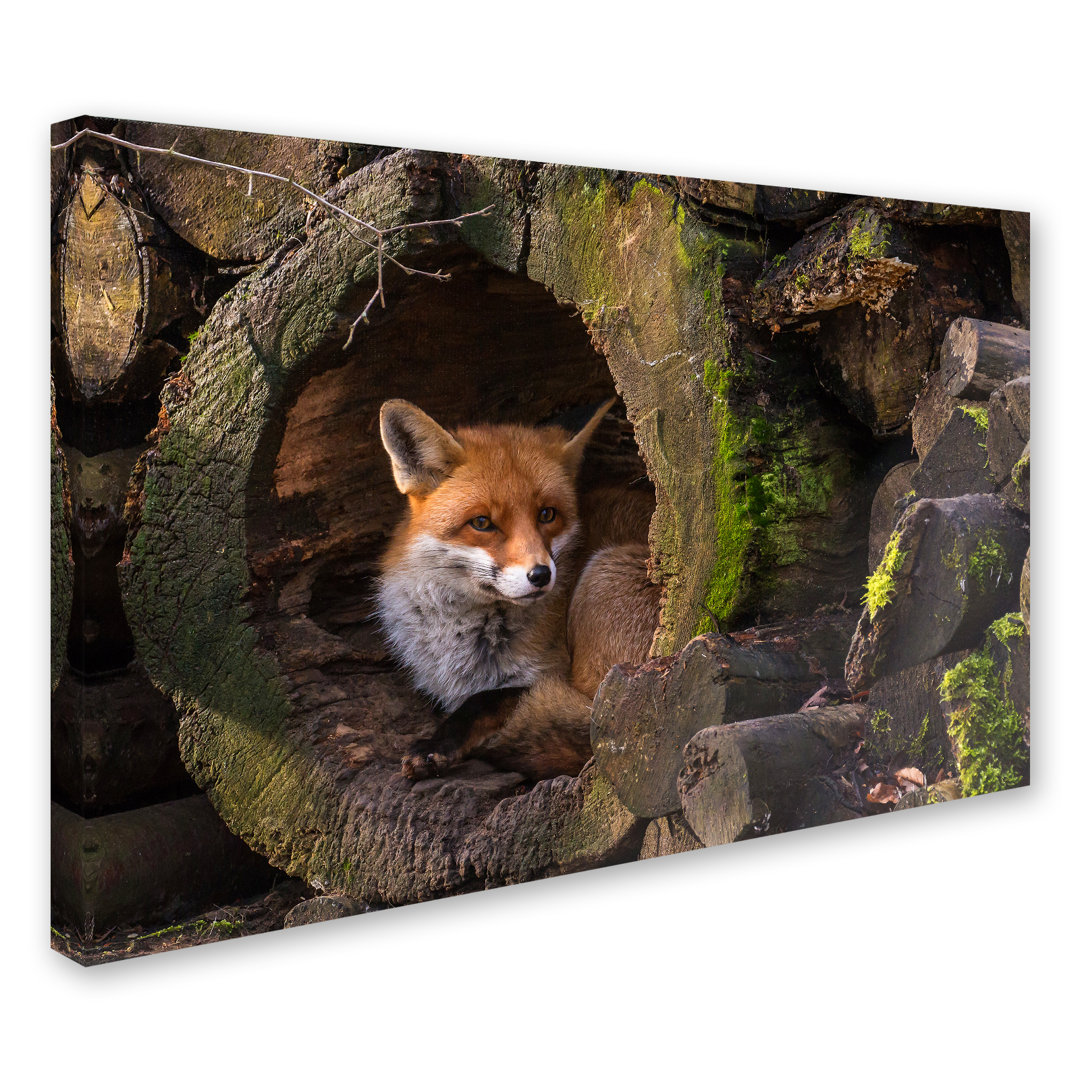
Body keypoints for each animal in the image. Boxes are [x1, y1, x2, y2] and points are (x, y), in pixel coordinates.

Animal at [375, 396, 660, 782]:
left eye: (547, 514)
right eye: (482, 522)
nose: (541, 575)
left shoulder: (551, 676)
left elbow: (485, 699)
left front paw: (437, 744)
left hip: (605, 582)